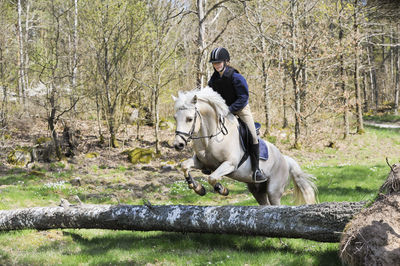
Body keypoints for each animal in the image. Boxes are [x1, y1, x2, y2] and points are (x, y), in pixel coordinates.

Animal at [172, 87, 316, 206]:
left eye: (189, 119)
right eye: (175, 118)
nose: (178, 144)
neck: (211, 138)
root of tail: (285, 159)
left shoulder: (230, 164)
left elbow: (212, 177)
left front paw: (222, 189)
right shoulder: (201, 163)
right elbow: (184, 166)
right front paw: (198, 188)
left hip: (273, 191)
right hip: (257, 190)